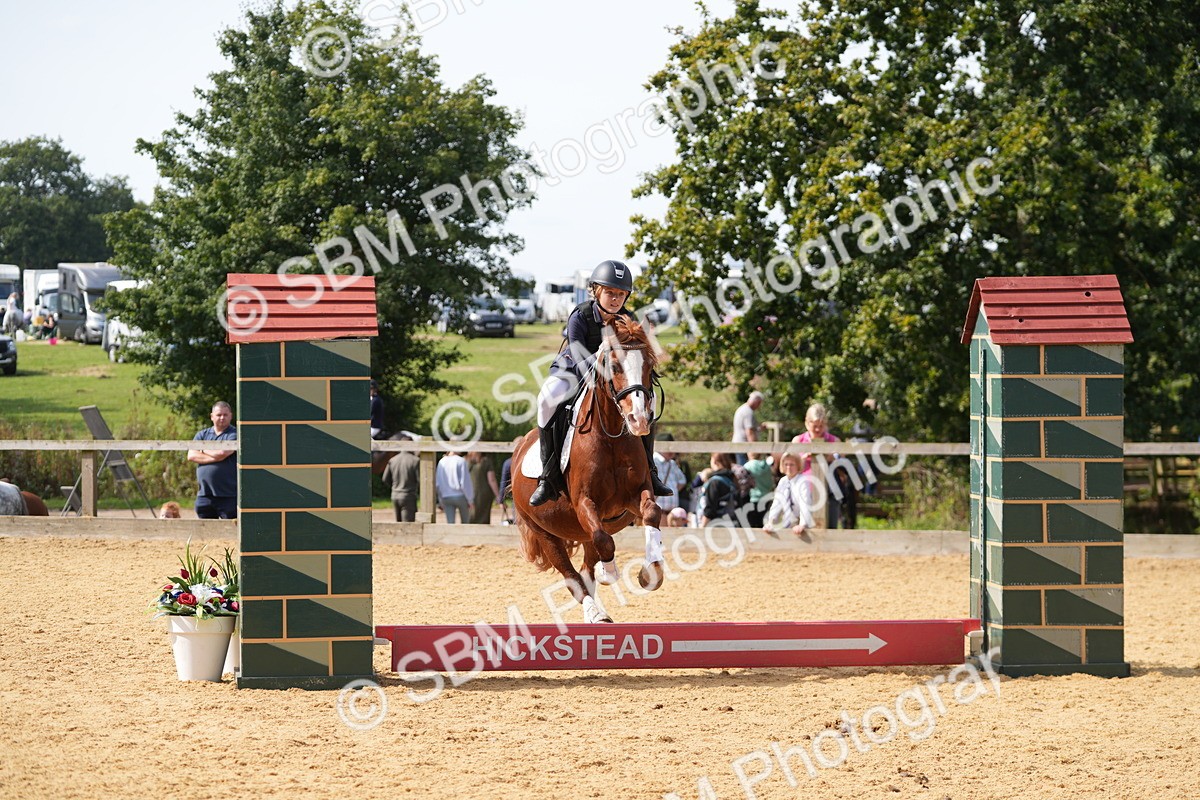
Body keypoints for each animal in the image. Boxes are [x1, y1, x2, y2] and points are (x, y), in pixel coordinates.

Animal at [511, 315, 667, 623]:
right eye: (614, 366)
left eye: (649, 365)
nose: (639, 420)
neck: (611, 436)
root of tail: (520, 446)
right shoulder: (585, 502)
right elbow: (605, 543)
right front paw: (611, 573)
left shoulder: (635, 495)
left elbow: (652, 513)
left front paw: (650, 574)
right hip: (544, 532)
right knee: (573, 577)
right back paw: (595, 613)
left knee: (585, 568)